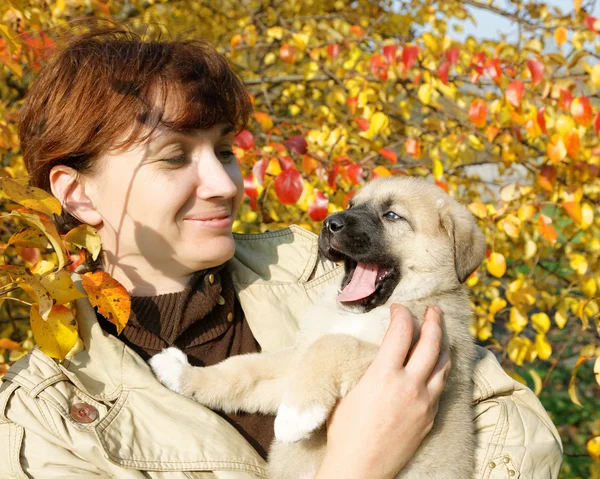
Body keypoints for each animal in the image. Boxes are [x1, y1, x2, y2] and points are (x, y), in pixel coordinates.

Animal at [150, 177, 488, 479]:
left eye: (392, 215)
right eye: (351, 204)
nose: (329, 223)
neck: (353, 314)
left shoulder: (400, 354)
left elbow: (332, 346)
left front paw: (295, 416)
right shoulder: (295, 361)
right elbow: (241, 370)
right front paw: (180, 373)